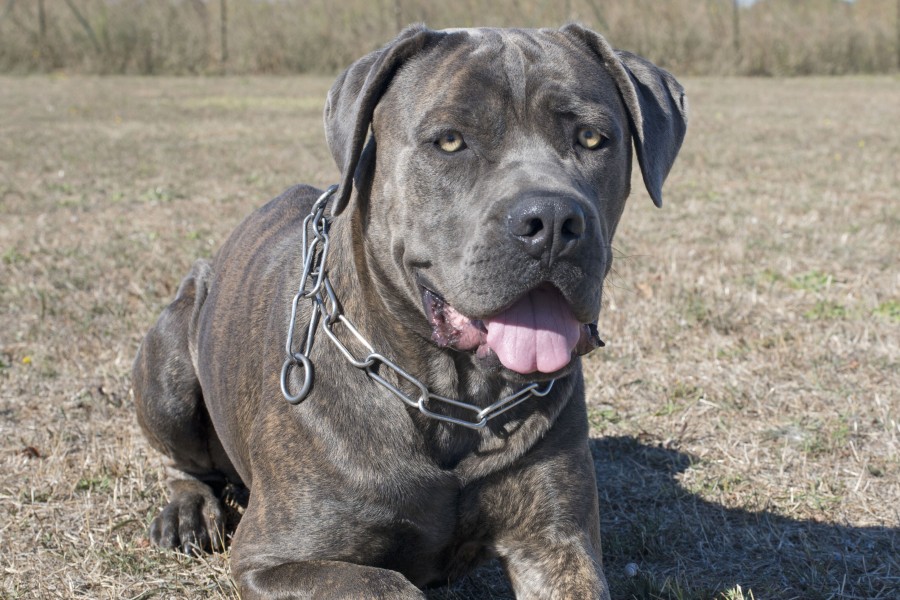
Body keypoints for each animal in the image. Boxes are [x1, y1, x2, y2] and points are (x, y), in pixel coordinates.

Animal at [130, 23, 684, 600]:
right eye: (450, 140)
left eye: (593, 138)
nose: (552, 219)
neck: (454, 397)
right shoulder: (276, 558)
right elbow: (391, 586)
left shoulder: (556, 543)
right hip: (169, 368)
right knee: (181, 460)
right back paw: (188, 512)